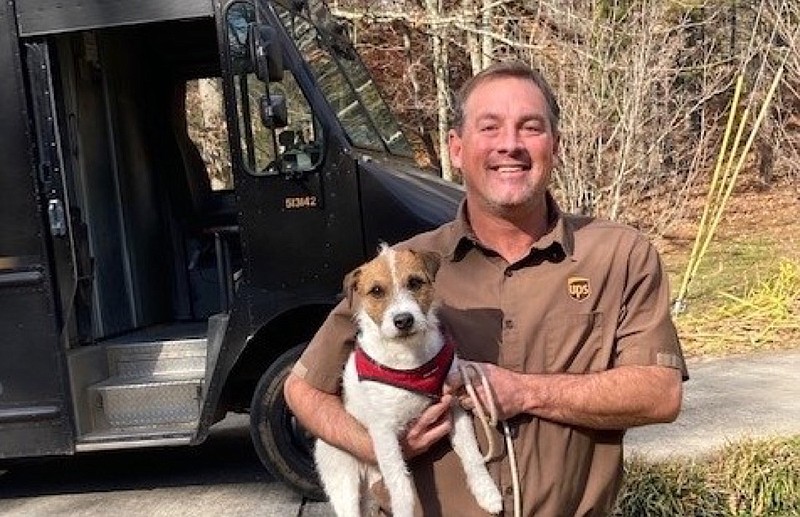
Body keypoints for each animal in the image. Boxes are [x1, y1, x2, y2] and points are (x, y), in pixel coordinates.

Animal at [312, 244, 500, 516]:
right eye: (376, 291)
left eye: (414, 282)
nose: (403, 320)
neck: (410, 360)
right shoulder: (385, 433)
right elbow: (401, 486)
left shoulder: (454, 407)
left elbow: (472, 454)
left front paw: (487, 493)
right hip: (344, 482)